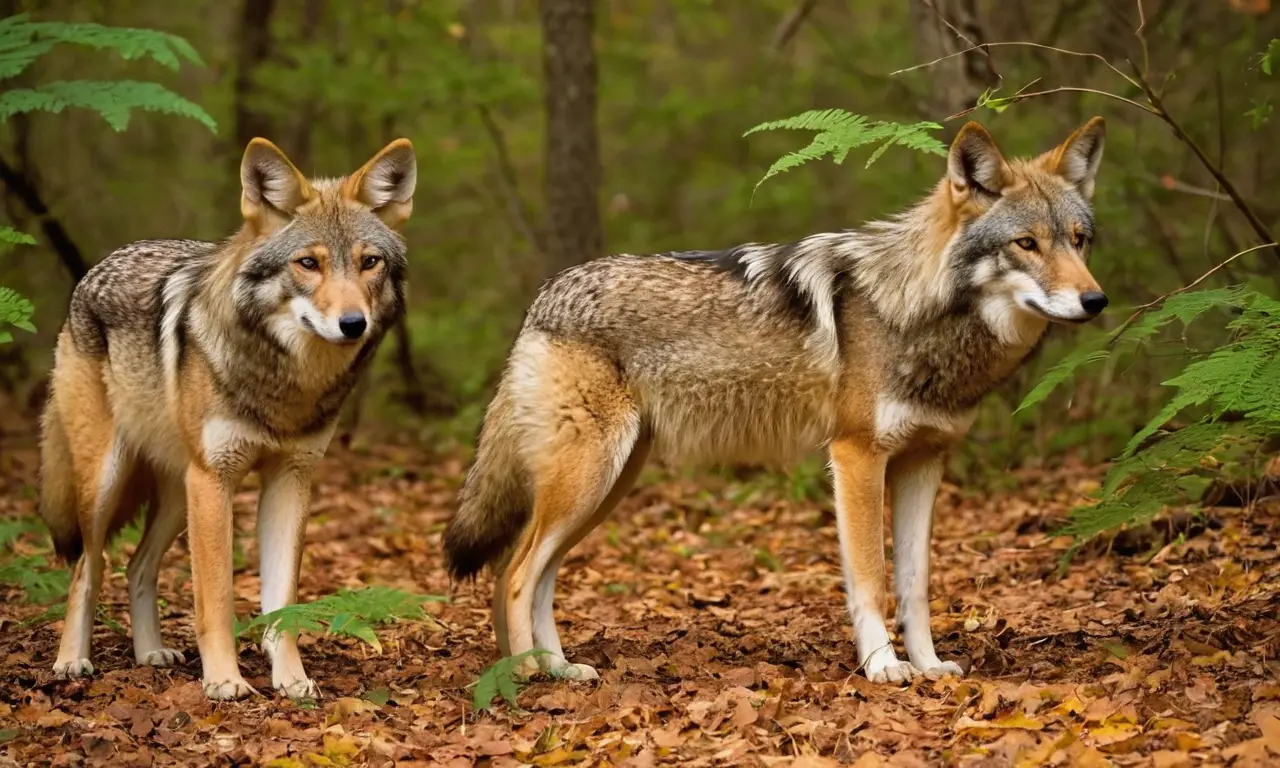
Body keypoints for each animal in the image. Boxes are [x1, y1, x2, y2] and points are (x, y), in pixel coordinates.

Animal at [39, 137, 417, 699]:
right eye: (308, 263)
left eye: (369, 262)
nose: (354, 324)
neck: (284, 384)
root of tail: (96, 269)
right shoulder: (216, 479)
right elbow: (215, 598)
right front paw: (224, 680)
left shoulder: (290, 479)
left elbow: (282, 603)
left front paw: (292, 681)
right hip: (111, 481)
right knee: (89, 564)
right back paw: (71, 662)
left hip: (179, 496)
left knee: (136, 564)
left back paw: (150, 653)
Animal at [443, 117, 1108, 683]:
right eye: (1026, 243)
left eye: (1078, 241)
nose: (1096, 301)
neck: (915, 312)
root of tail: (542, 298)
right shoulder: (857, 457)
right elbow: (870, 577)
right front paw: (884, 668)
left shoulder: (925, 462)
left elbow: (915, 584)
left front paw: (928, 665)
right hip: (588, 479)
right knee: (515, 574)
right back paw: (529, 678)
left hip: (604, 487)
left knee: (529, 573)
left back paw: (557, 669)